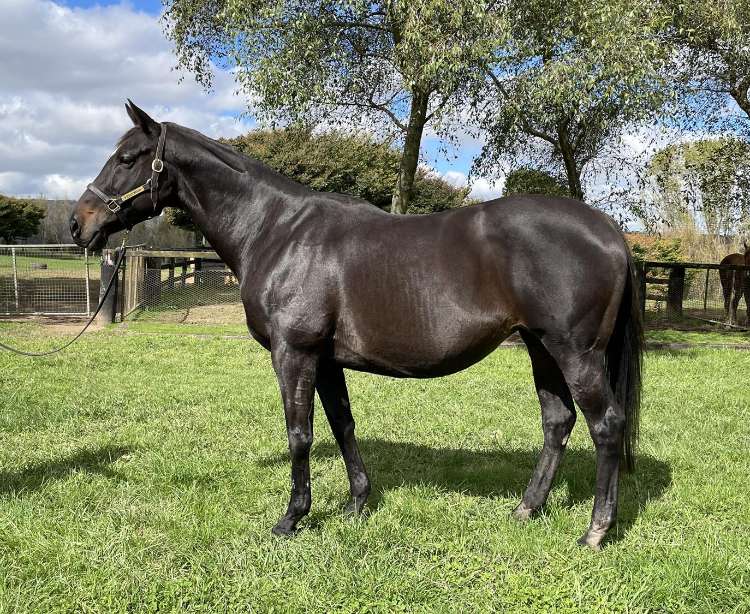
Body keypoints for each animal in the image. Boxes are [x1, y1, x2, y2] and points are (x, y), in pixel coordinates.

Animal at [70, 101, 643, 550]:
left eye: (126, 158)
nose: (80, 224)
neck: (276, 230)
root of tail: (610, 232)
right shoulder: (326, 360)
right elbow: (342, 425)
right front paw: (357, 505)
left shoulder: (294, 353)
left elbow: (300, 434)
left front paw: (291, 519)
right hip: (540, 347)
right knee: (558, 422)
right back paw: (526, 509)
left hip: (575, 352)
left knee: (605, 426)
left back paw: (595, 532)